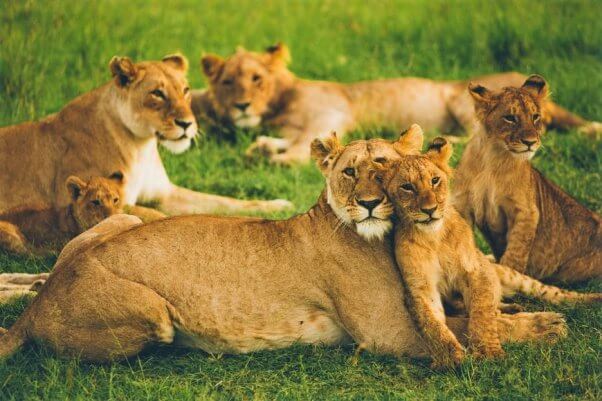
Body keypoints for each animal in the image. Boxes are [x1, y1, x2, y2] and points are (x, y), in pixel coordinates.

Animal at [0, 52, 290, 219]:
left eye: (185, 90)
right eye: (157, 94)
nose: (187, 123)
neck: (141, 146)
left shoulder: (166, 193)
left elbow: (223, 201)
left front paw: (278, 205)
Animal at [0, 132, 564, 362]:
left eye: (384, 166)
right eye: (350, 172)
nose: (368, 203)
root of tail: (37, 307)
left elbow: (475, 311)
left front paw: (518, 310)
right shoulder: (388, 334)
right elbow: (461, 328)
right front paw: (545, 325)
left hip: (120, 217)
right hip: (154, 313)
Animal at [192, 42, 600, 164]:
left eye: (256, 79)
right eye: (228, 82)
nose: (242, 105)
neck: (278, 105)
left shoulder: (331, 113)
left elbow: (301, 148)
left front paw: (276, 158)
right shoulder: (297, 127)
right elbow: (288, 140)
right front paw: (263, 147)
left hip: (461, 99)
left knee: (478, 136)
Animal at [378, 133, 596, 368]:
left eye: (434, 180)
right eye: (407, 187)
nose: (429, 210)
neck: (433, 237)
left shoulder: (476, 271)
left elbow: (482, 313)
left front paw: (487, 352)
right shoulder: (420, 289)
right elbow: (432, 325)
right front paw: (449, 358)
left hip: (509, 273)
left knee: (551, 292)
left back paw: (591, 300)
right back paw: (511, 309)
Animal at [452, 75, 596, 282]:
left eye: (535, 117)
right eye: (510, 118)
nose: (530, 142)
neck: (492, 158)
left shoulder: (527, 211)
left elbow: (515, 253)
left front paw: (507, 277)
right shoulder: (463, 205)